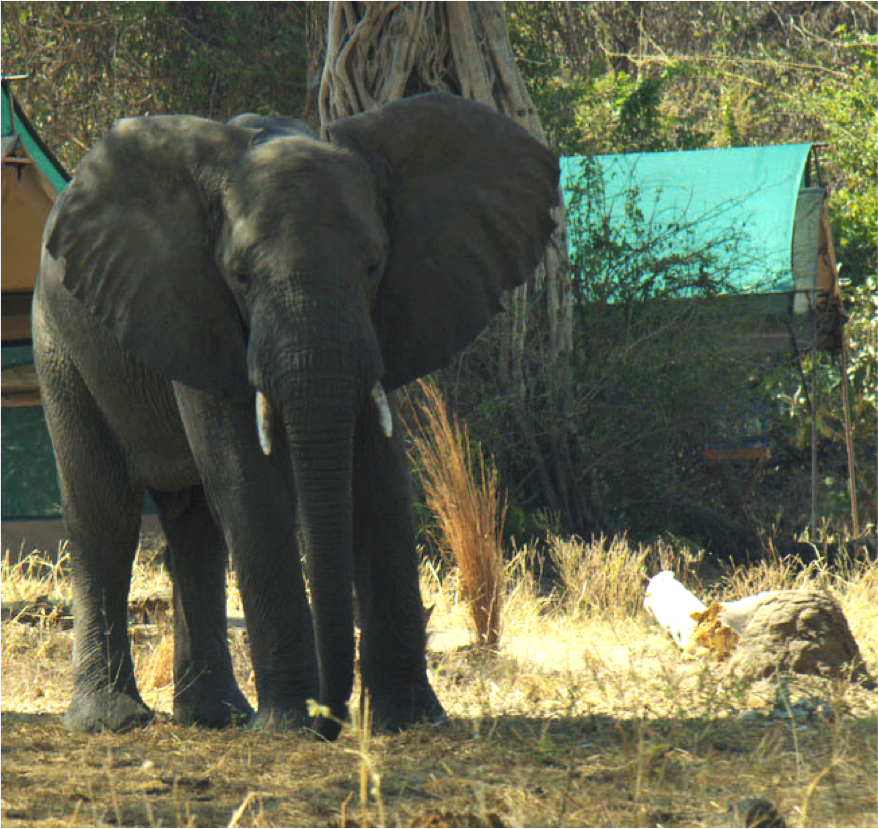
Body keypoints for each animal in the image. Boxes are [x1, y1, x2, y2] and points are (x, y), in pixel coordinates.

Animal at [32, 92, 559, 739]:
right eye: (240, 276)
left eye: (374, 266)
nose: (334, 720)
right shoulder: (198, 312)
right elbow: (247, 483)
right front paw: (288, 727)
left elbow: (381, 479)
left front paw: (409, 721)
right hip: (59, 343)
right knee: (105, 512)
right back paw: (114, 722)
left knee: (196, 528)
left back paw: (216, 718)